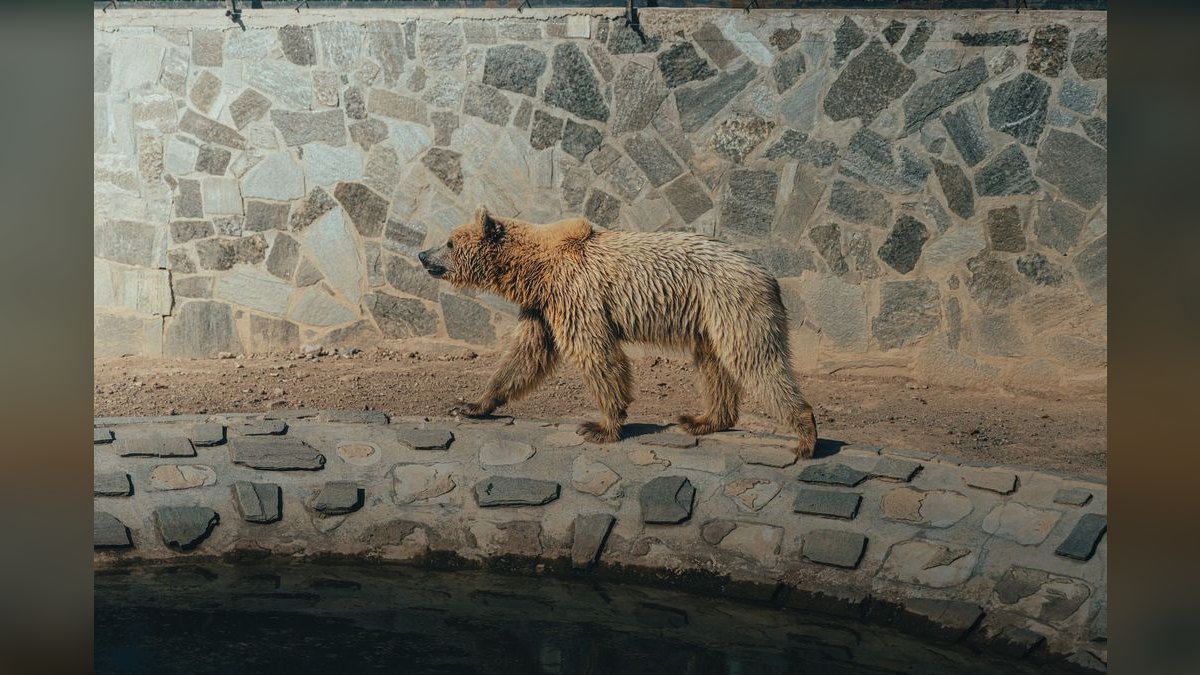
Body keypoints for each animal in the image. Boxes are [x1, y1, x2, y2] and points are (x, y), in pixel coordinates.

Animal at [418, 208, 818, 458]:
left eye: (450, 241)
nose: (423, 255)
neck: (534, 270)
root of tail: (768, 276)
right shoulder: (542, 308)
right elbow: (524, 356)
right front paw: (470, 404)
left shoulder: (575, 293)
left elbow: (595, 353)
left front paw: (600, 426)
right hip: (709, 321)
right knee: (714, 365)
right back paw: (702, 419)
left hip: (731, 305)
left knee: (755, 360)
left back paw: (804, 436)